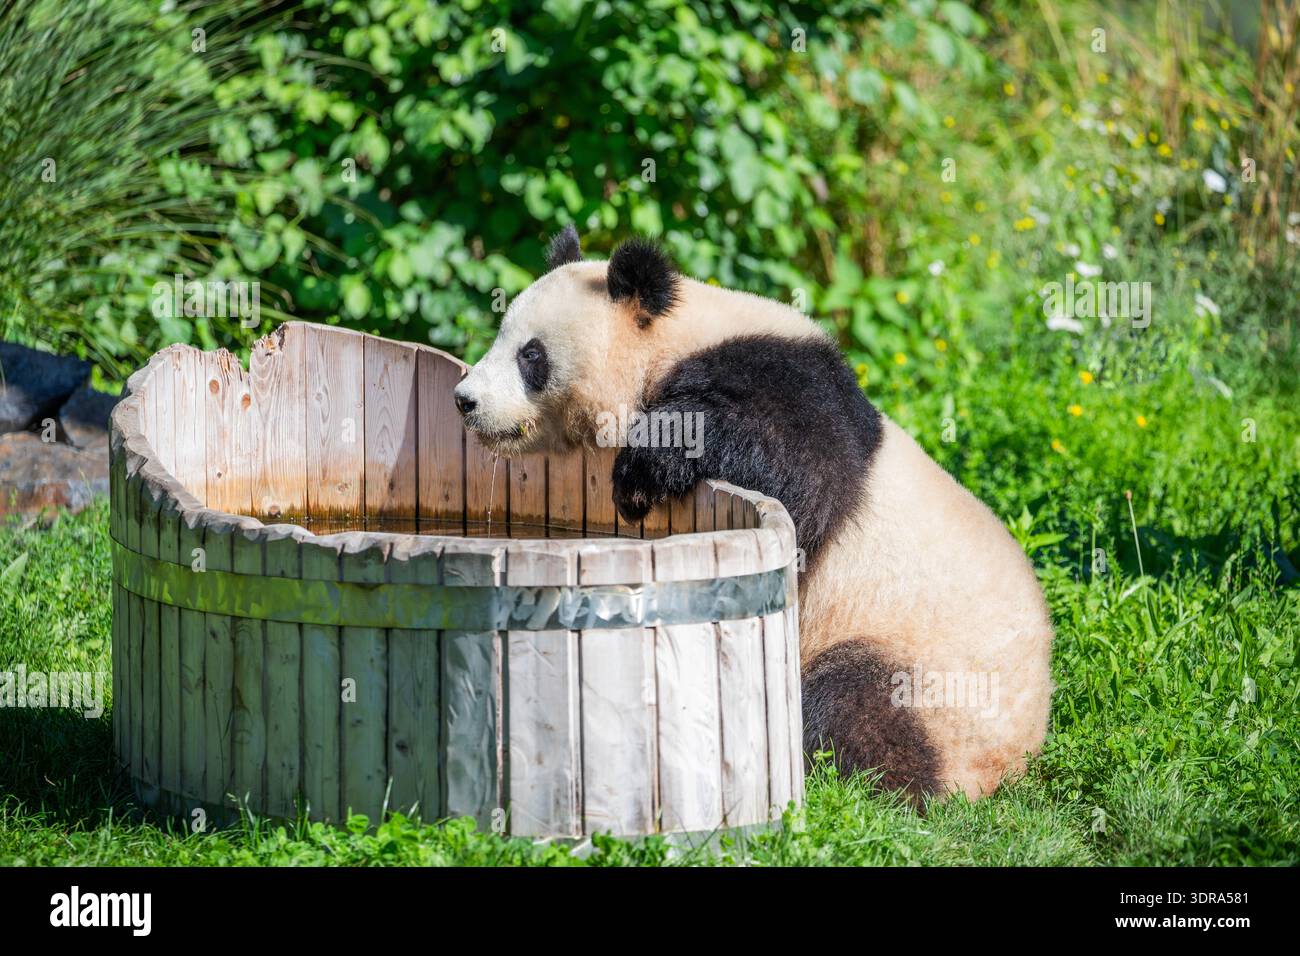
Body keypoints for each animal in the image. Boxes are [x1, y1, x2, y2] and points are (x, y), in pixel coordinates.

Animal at [453, 225, 1055, 803]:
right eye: (503, 336)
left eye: (531, 355)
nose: (465, 400)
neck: (674, 339)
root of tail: (1011, 768)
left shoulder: (786, 380)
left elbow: (791, 463)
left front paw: (640, 473)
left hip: (931, 676)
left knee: (858, 706)